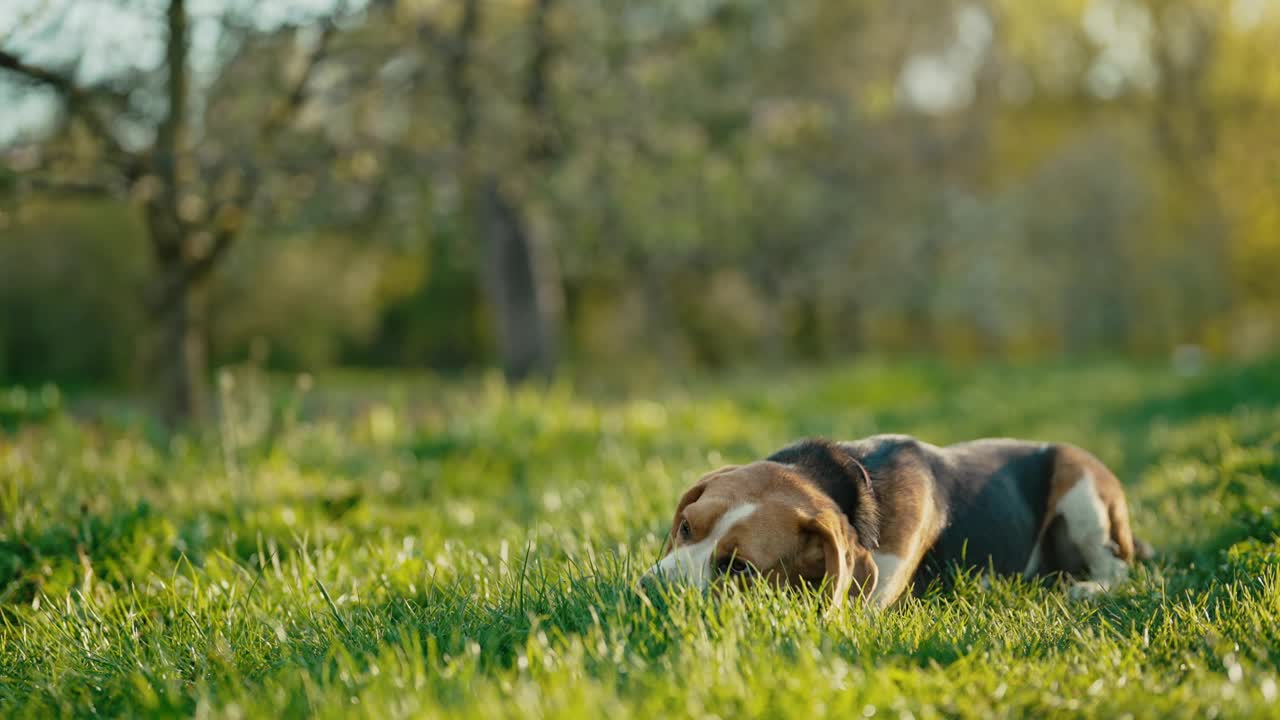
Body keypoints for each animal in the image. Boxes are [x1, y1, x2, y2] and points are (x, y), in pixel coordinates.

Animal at [640, 435, 1152, 607]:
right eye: (685, 527)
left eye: (738, 568)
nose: (646, 590)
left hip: (1082, 488)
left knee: (1119, 567)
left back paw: (1088, 588)